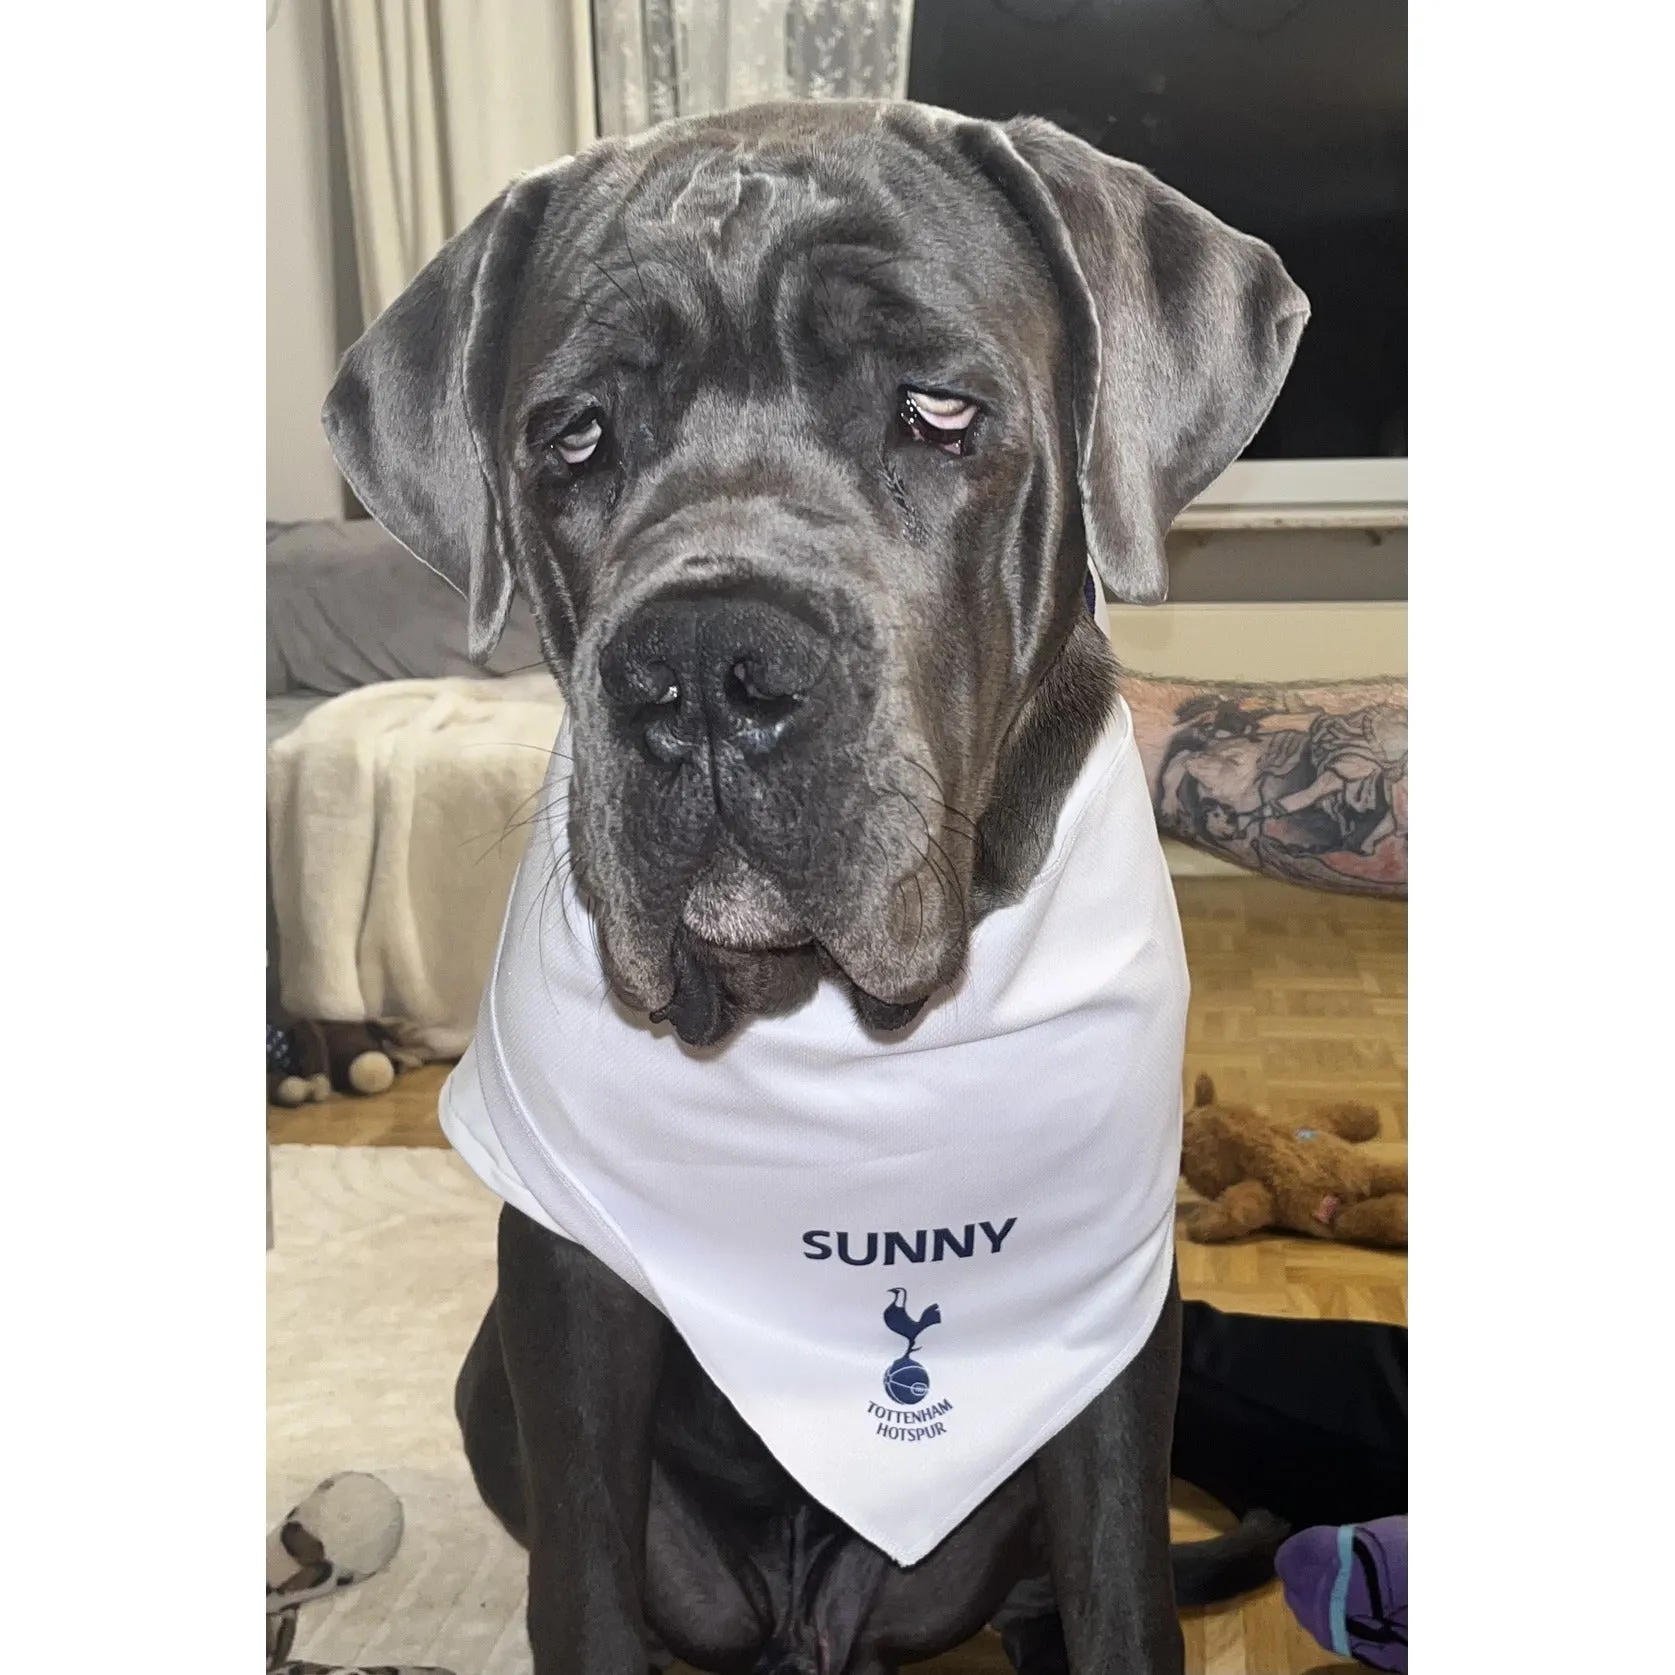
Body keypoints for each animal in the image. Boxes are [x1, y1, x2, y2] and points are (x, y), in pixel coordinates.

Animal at [316, 104, 1306, 1675]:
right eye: (573, 434)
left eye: (939, 410)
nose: (702, 667)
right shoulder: (567, 1304)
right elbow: (582, 1588)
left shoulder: (1101, 1335)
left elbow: (1120, 1586)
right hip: (493, 1387)